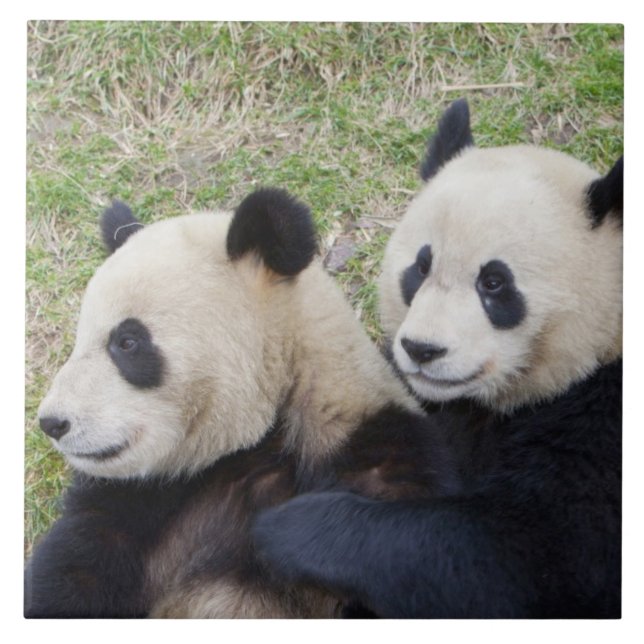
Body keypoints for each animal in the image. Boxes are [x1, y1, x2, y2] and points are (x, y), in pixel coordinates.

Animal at [25, 187, 459, 618]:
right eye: (79, 339)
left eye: (127, 342)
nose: (52, 423)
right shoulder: (133, 502)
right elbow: (71, 576)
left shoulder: (376, 457)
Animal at [252, 100, 623, 618]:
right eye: (420, 267)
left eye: (494, 283)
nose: (422, 349)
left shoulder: (602, 429)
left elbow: (518, 557)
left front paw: (291, 528)